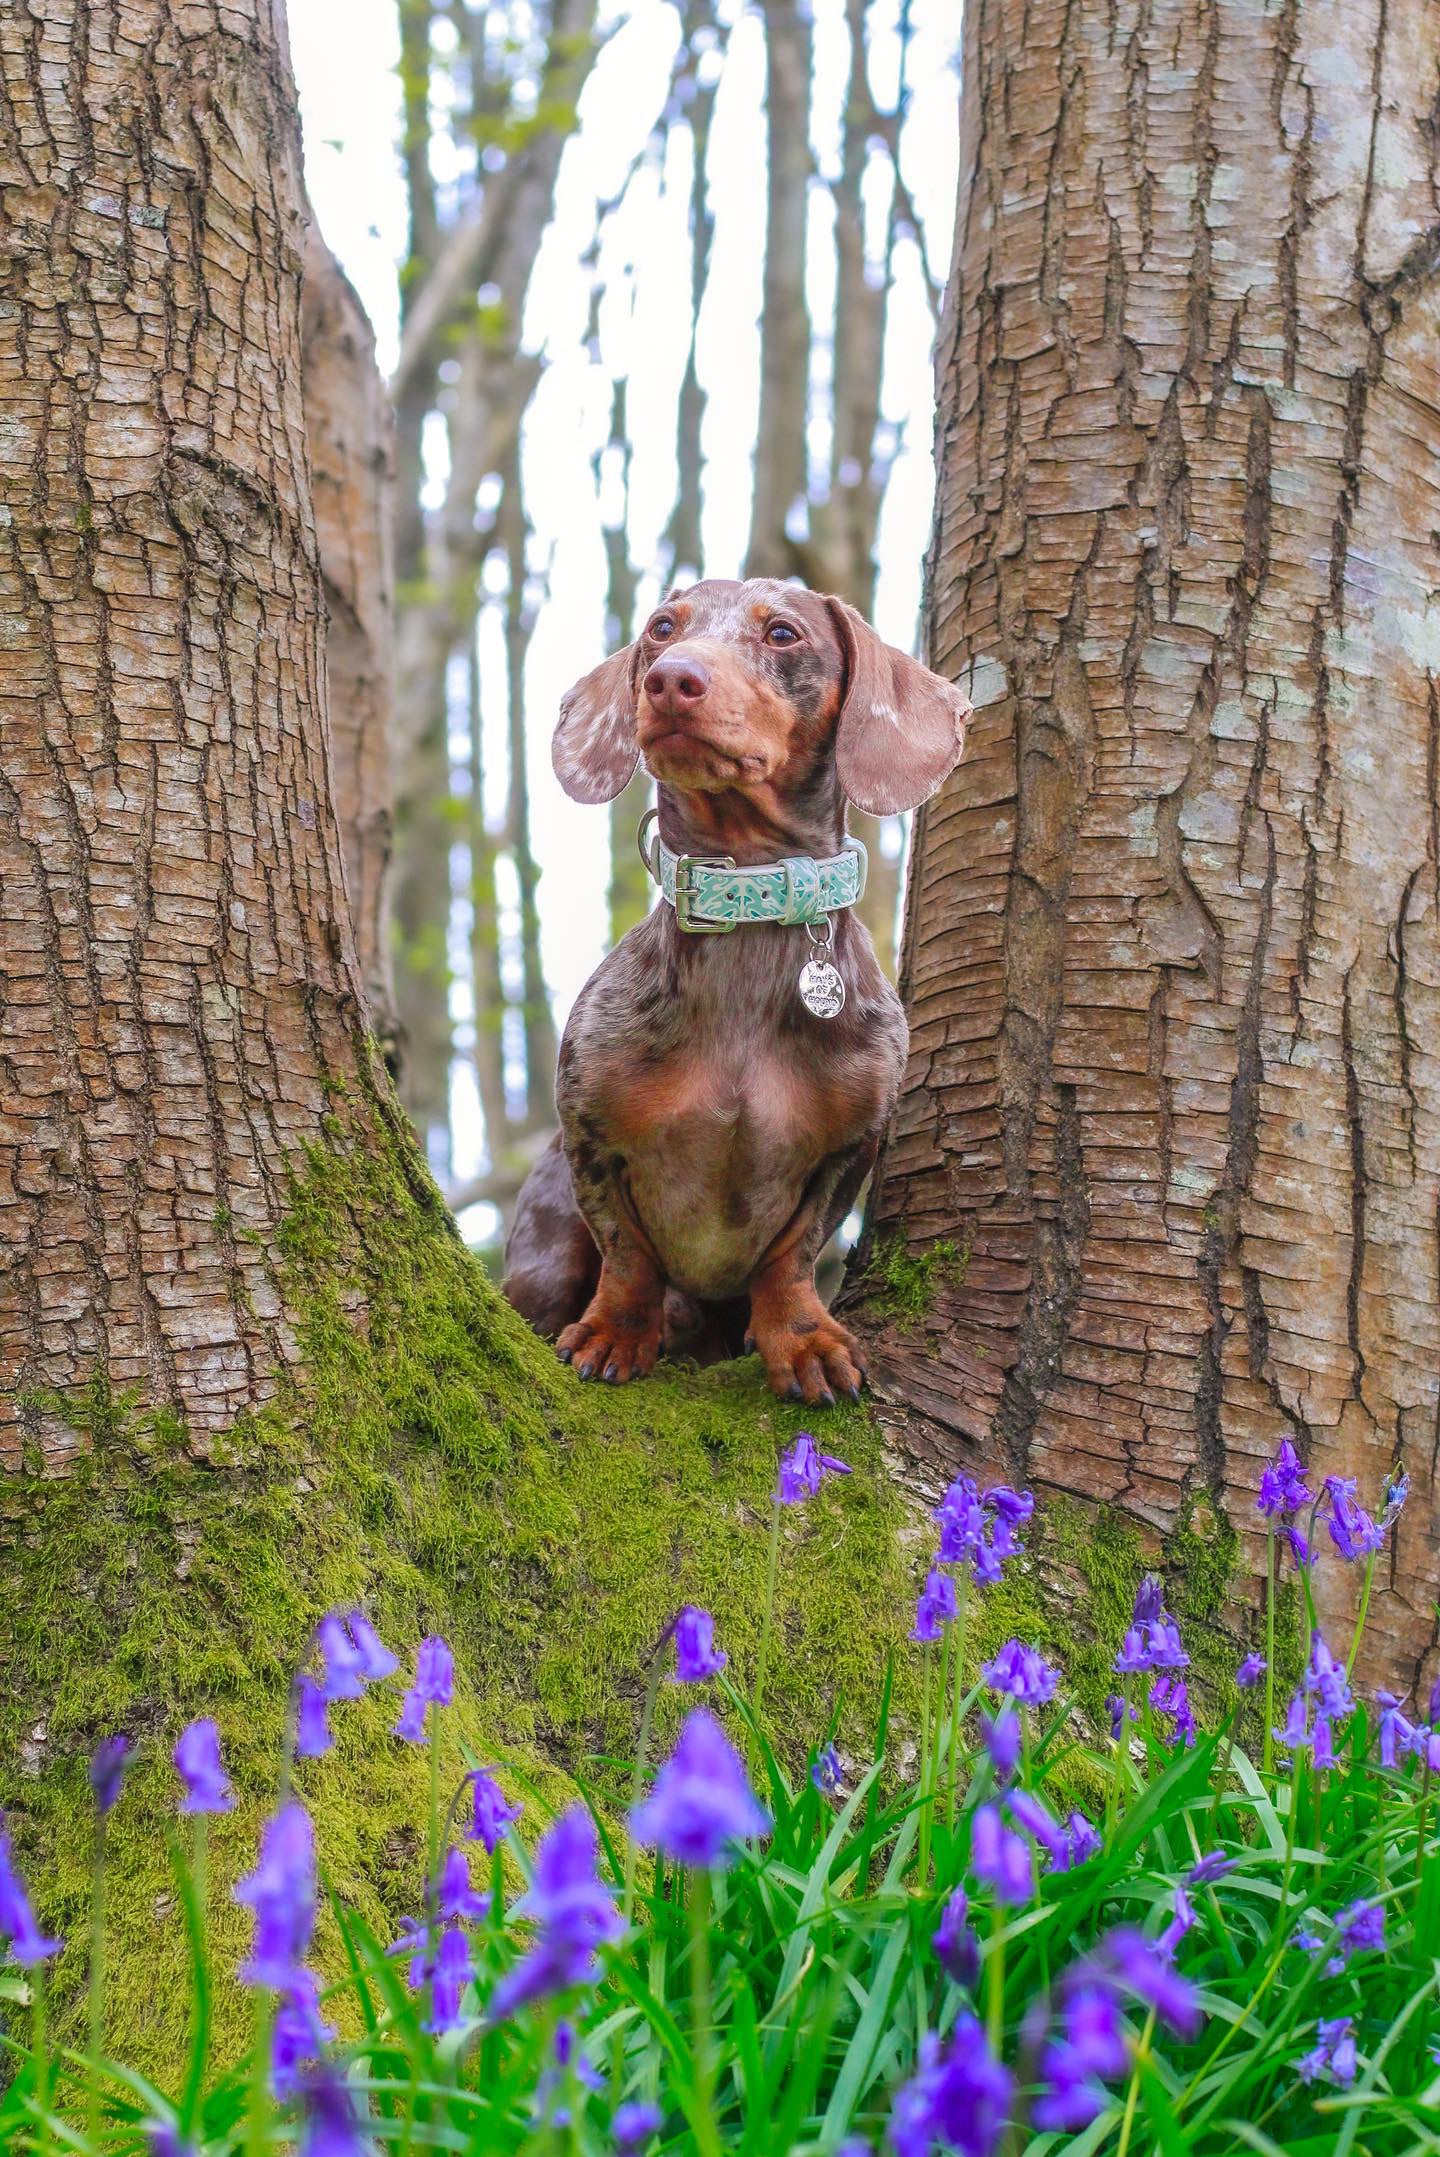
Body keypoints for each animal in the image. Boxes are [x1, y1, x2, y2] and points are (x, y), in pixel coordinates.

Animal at [504, 582, 965, 1406]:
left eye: (782, 633)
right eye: (661, 628)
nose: (669, 681)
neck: (746, 907)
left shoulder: (847, 1151)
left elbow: (790, 1254)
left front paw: (802, 1341)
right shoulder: (590, 1140)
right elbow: (628, 1253)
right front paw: (615, 1334)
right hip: (545, 1258)